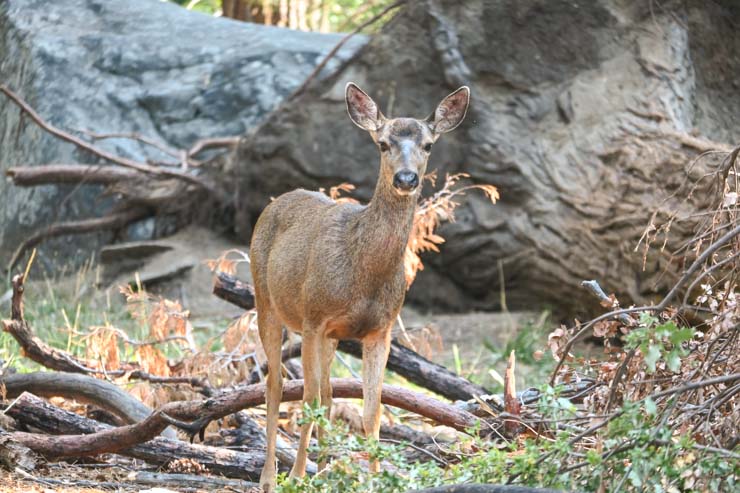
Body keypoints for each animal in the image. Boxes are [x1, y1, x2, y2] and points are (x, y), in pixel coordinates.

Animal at [249, 82, 468, 490]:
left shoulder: (379, 331)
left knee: (329, 393)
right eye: (382, 144)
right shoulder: (314, 318)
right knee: (276, 385)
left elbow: (371, 411)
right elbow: (308, 400)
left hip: (332, 335)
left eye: (429, 144)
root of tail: (277, 200)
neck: (363, 274)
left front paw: (375, 479)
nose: (406, 179)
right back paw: (270, 477)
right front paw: (298, 476)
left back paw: (322, 468)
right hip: (265, 299)